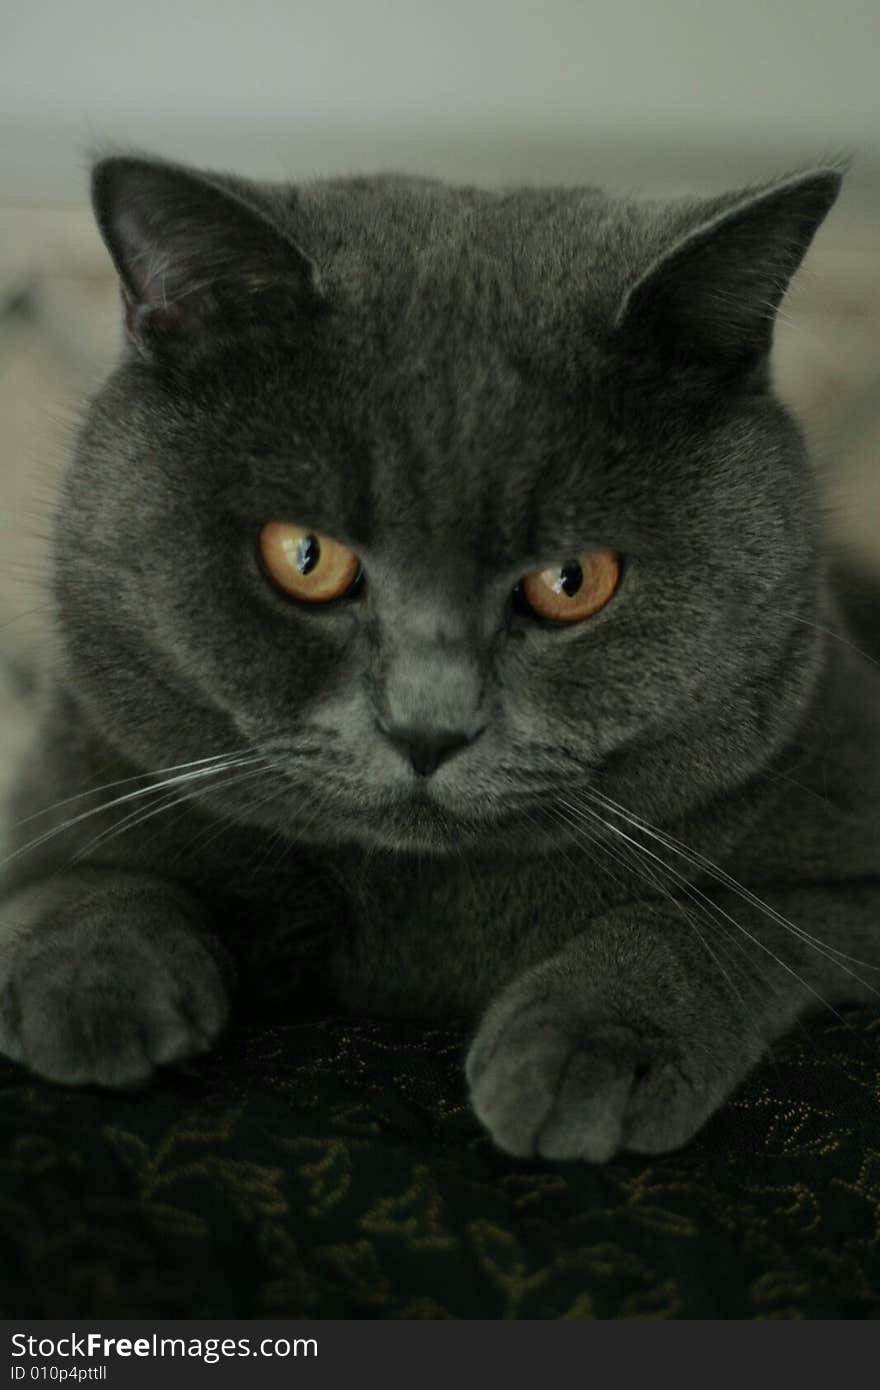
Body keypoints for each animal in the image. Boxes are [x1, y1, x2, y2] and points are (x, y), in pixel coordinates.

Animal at [1, 154, 878, 1162]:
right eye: (306, 556)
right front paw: (93, 985)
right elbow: (76, 878)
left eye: (573, 580)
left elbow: (721, 917)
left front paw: (589, 1047)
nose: (427, 730)